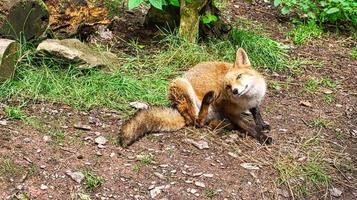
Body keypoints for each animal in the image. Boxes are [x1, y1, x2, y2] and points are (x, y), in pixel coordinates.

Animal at [118, 47, 272, 146]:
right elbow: (249, 126)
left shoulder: (255, 101)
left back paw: (226, 125)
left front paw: (262, 124)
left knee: (209, 123)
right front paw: (262, 136)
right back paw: (209, 103)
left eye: (239, 76)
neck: (247, 99)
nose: (235, 91)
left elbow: (256, 113)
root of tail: (178, 111)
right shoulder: (230, 111)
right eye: (228, 86)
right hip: (182, 85)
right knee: (197, 121)